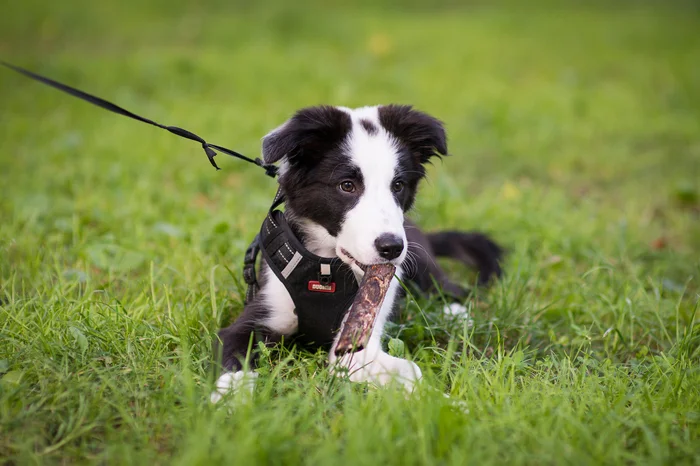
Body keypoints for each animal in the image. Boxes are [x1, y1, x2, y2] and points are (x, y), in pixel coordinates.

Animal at [211, 104, 500, 400]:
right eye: (347, 185)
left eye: (398, 185)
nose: (391, 247)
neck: (325, 268)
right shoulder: (258, 316)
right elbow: (235, 356)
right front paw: (230, 397)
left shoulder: (357, 339)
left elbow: (409, 371)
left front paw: (445, 403)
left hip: (420, 261)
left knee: (448, 288)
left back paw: (457, 314)